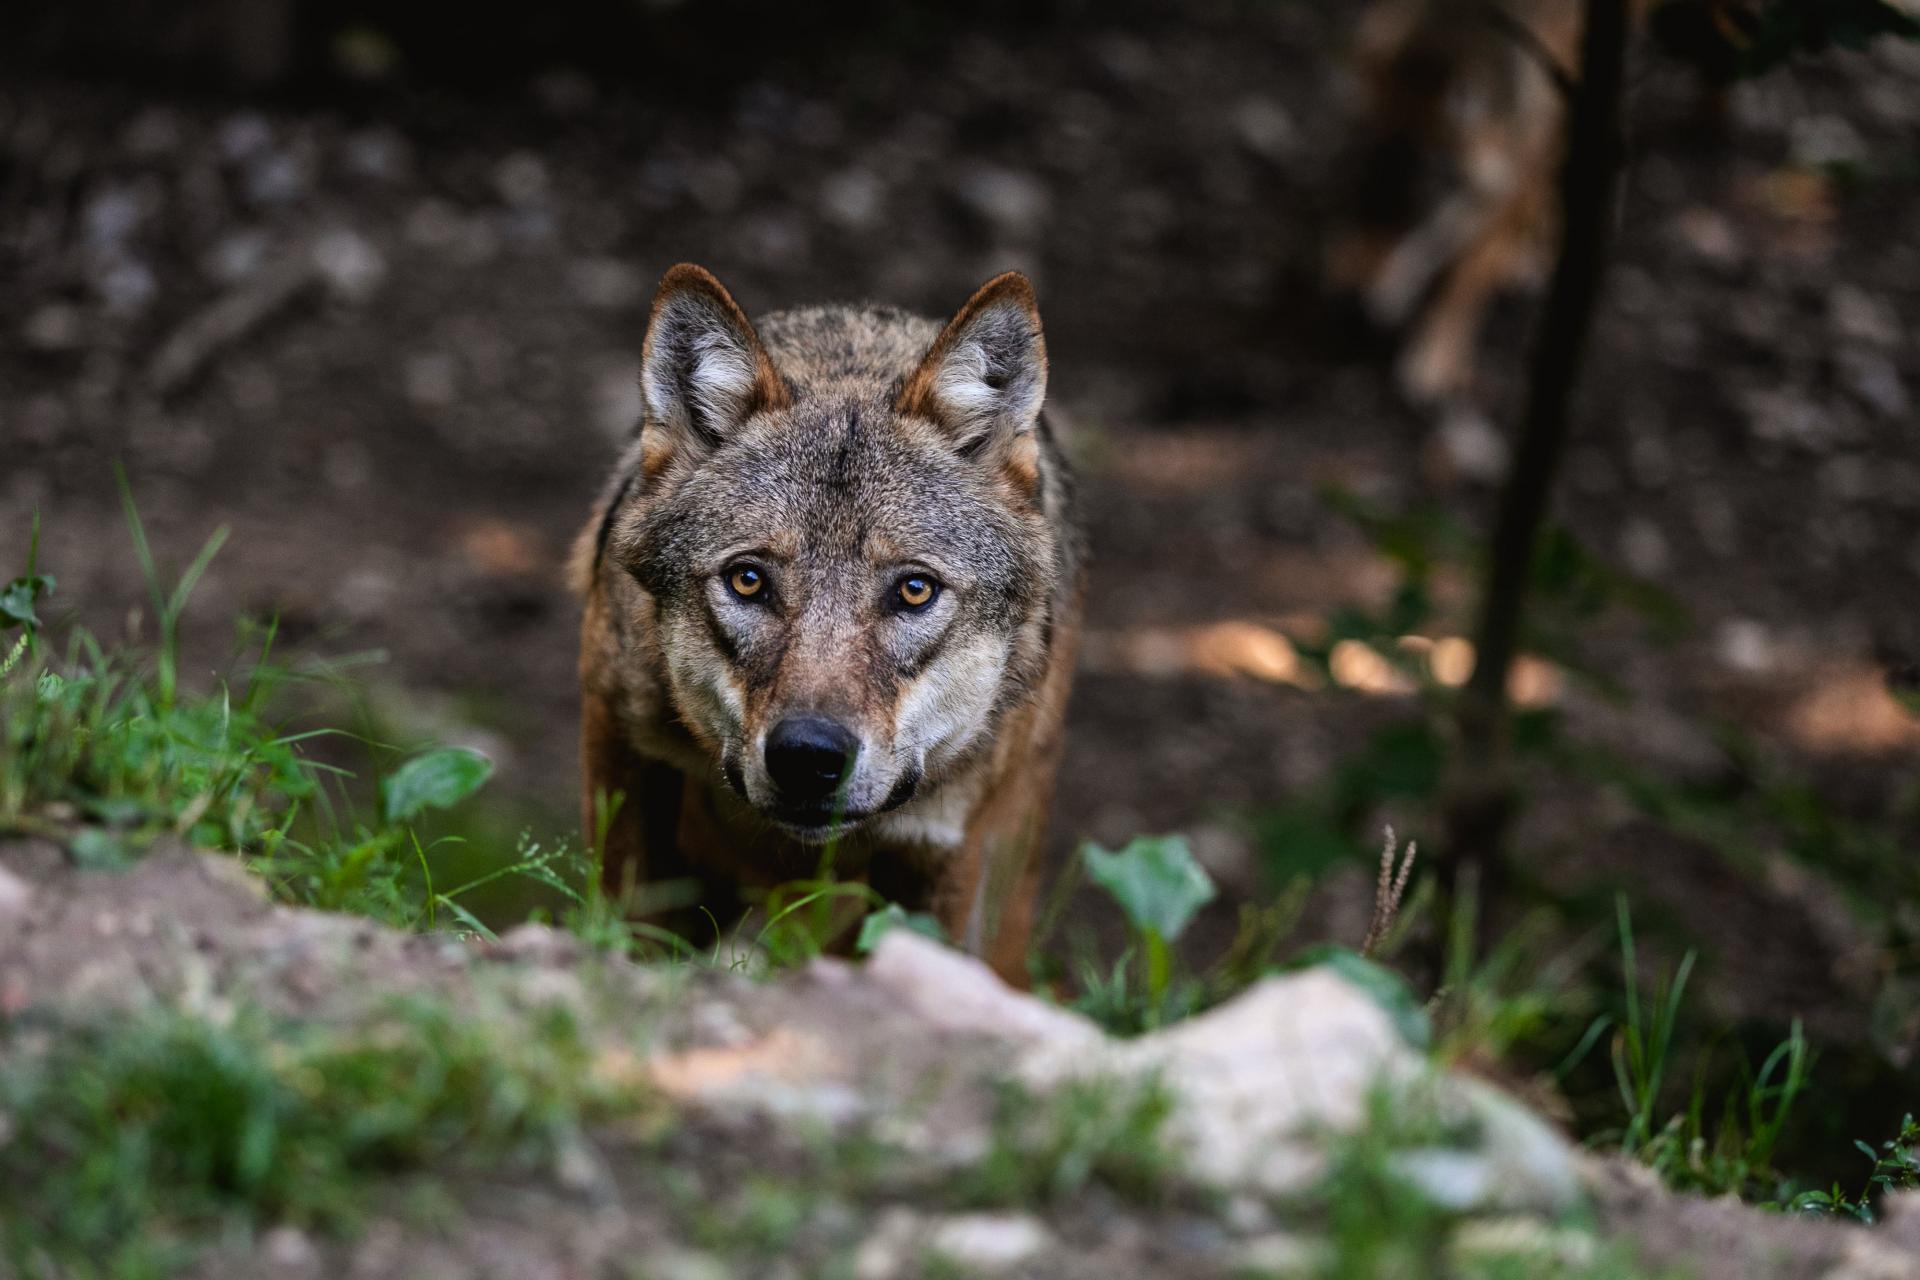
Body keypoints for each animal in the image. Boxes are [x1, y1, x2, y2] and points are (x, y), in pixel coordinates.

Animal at [568, 262, 1082, 982]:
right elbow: (629, 931)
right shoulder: (623, 740)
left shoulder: (940, 855)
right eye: (748, 580)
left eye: (914, 590)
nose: (809, 756)